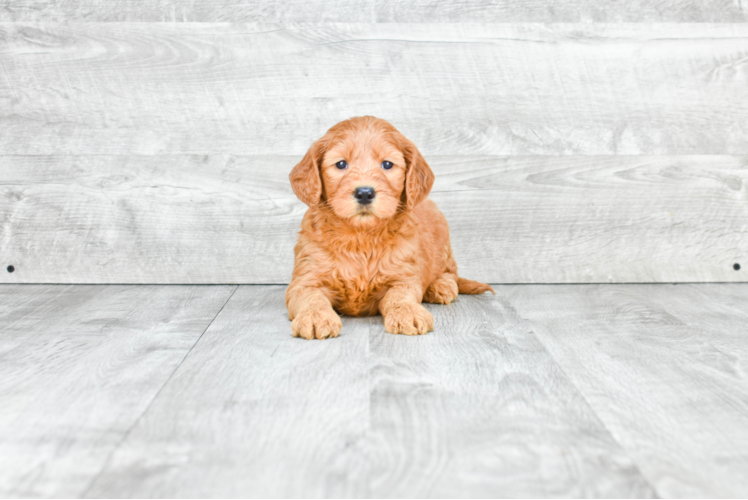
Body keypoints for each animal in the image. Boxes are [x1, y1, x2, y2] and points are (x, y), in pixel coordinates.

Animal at [290, 115, 494, 338]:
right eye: (341, 164)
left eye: (387, 164)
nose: (364, 193)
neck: (361, 237)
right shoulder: (306, 277)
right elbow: (310, 296)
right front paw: (315, 316)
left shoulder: (403, 275)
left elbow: (400, 295)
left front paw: (408, 312)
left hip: (443, 239)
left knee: (450, 273)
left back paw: (440, 286)